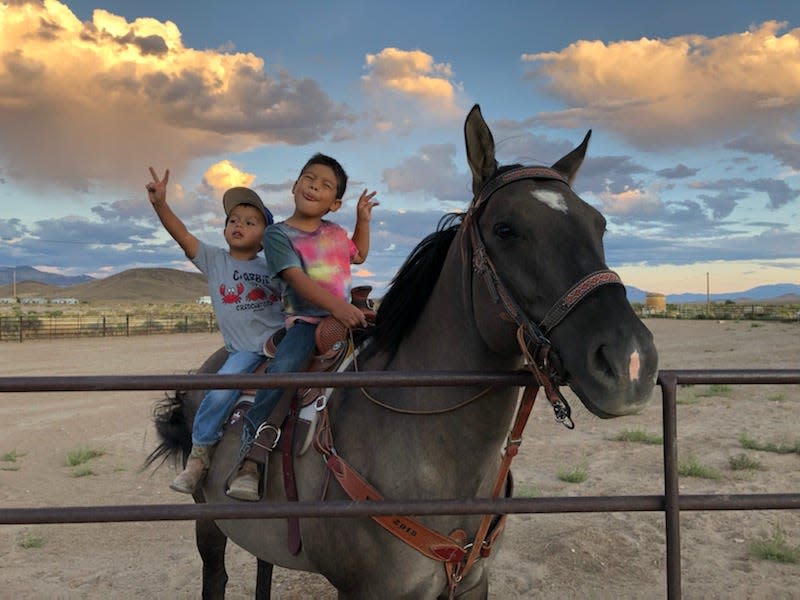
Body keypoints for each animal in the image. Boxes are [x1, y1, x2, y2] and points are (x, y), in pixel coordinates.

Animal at [147, 105, 660, 596]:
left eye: (600, 224)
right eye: (505, 229)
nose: (630, 361)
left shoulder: (472, 582)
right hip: (209, 523)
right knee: (215, 577)